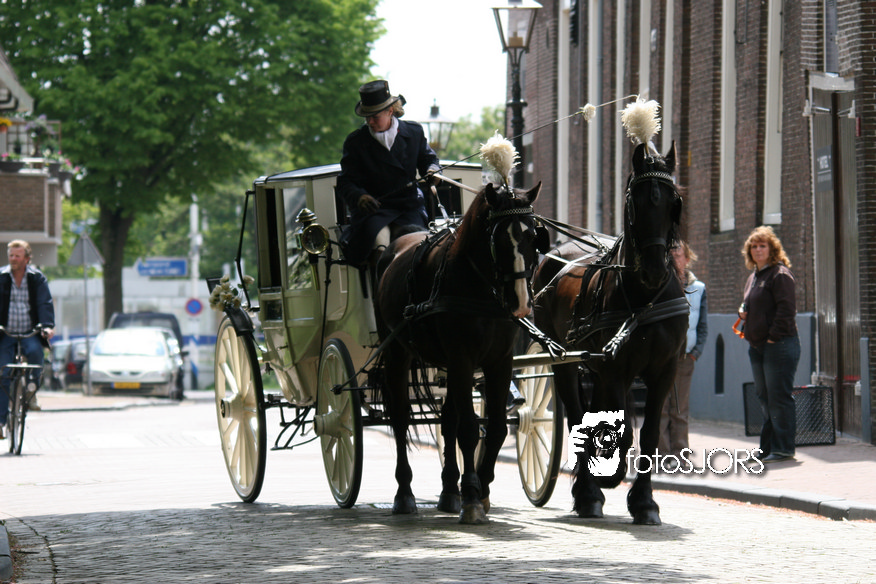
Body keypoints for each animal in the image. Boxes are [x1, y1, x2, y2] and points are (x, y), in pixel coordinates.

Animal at [375, 180, 543, 524]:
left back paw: (450, 490)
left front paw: (481, 489)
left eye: (534, 235)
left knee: (447, 419)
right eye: (499, 238)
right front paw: (473, 500)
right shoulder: (463, 359)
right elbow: (469, 429)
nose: (521, 303)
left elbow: (495, 428)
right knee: (400, 419)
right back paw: (404, 494)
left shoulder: (499, 362)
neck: (481, 286)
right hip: (398, 353)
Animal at [532, 142, 688, 525]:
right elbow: (625, 432)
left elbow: (648, 434)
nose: (654, 270)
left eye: (674, 201)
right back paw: (588, 494)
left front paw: (645, 503)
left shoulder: (664, 370)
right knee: (576, 417)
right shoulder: (617, 370)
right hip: (563, 361)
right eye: (636, 200)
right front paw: (611, 481)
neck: (644, 298)